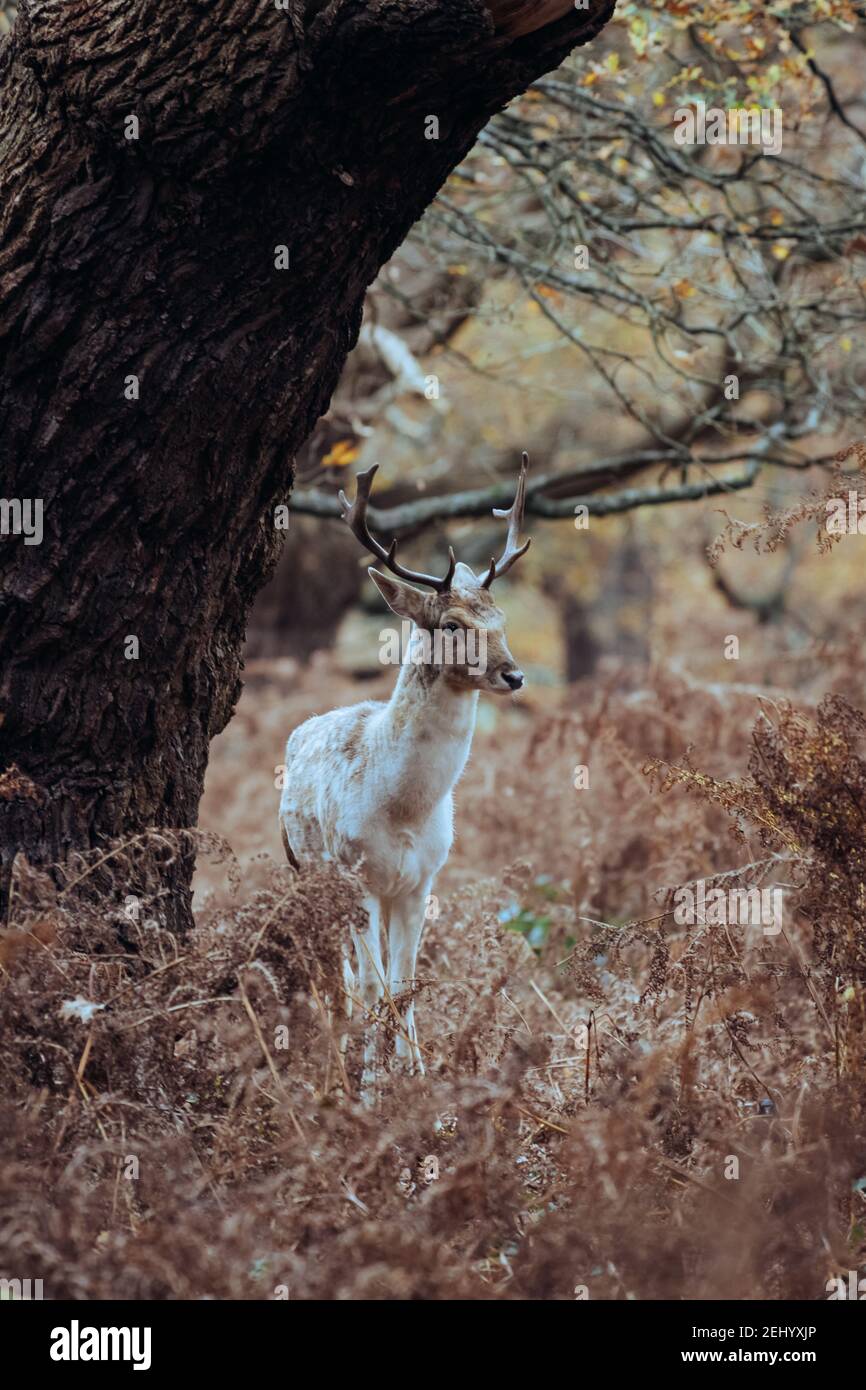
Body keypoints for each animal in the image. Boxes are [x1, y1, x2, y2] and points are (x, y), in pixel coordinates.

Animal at [278, 455, 531, 1097]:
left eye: (501, 617)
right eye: (452, 624)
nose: (514, 675)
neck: (404, 808)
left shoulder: (422, 881)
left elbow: (405, 983)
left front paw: (419, 1082)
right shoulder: (357, 877)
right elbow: (372, 985)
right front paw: (371, 1090)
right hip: (308, 872)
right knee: (338, 979)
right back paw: (337, 1072)